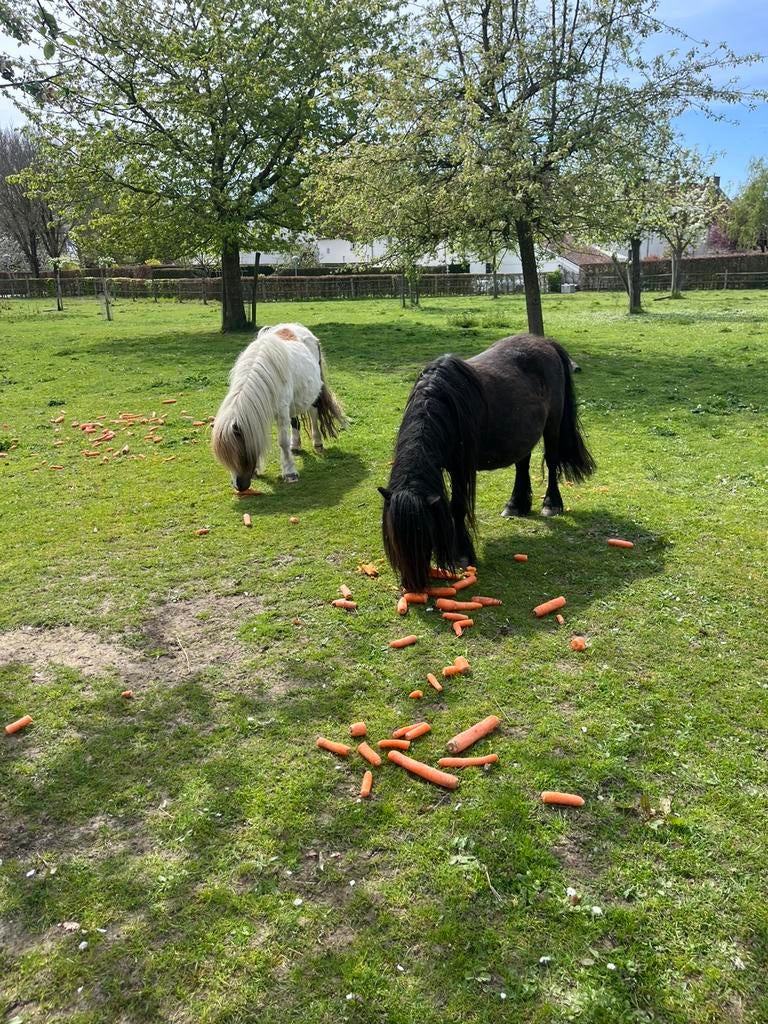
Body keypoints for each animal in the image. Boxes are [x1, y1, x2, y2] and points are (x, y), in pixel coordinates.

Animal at [212, 322, 346, 489]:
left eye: (241, 453)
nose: (239, 487)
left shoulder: (281, 410)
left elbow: (282, 442)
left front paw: (290, 473)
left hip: (313, 394)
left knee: (314, 415)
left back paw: (317, 443)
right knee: (295, 421)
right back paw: (295, 445)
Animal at [379, 333, 595, 591]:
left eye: (425, 534)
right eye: (394, 537)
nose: (413, 586)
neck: (444, 406)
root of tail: (546, 342)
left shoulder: (461, 468)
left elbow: (457, 506)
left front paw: (462, 553)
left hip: (553, 425)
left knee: (552, 464)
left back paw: (551, 505)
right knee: (522, 465)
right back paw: (516, 505)